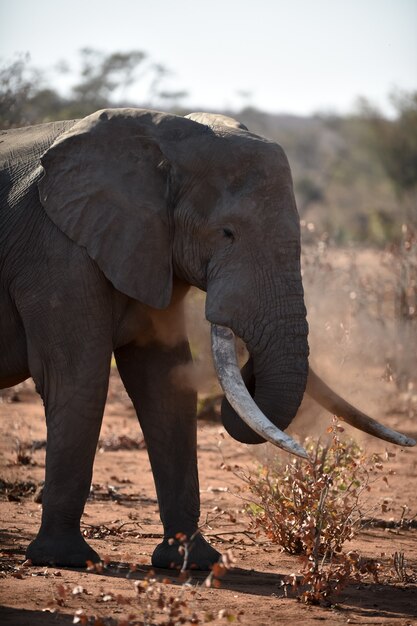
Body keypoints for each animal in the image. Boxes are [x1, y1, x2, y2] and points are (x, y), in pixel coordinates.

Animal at [0, 108, 412, 572]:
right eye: (226, 233)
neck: (159, 135)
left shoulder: (146, 249)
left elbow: (165, 386)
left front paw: (192, 562)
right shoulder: (56, 252)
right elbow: (79, 379)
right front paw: (67, 559)